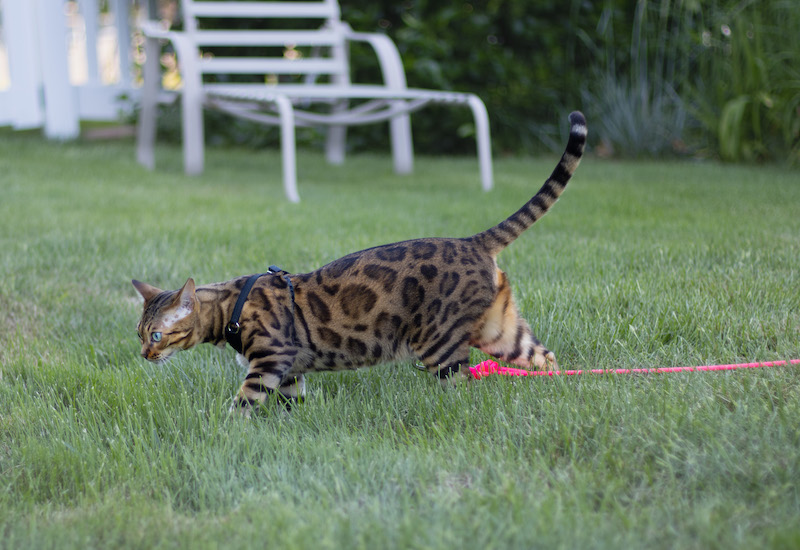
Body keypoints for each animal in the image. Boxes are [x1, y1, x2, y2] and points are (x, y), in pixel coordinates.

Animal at [133, 111, 588, 414]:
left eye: (156, 336)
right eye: (139, 334)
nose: (143, 355)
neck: (231, 306)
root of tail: (471, 241)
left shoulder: (270, 362)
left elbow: (244, 404)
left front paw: (223, 429)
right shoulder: (290, 373)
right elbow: (290, 406)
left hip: (439, 345)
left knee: (463, 384)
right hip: (500, 330)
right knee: (544, 358)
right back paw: (564, 392)